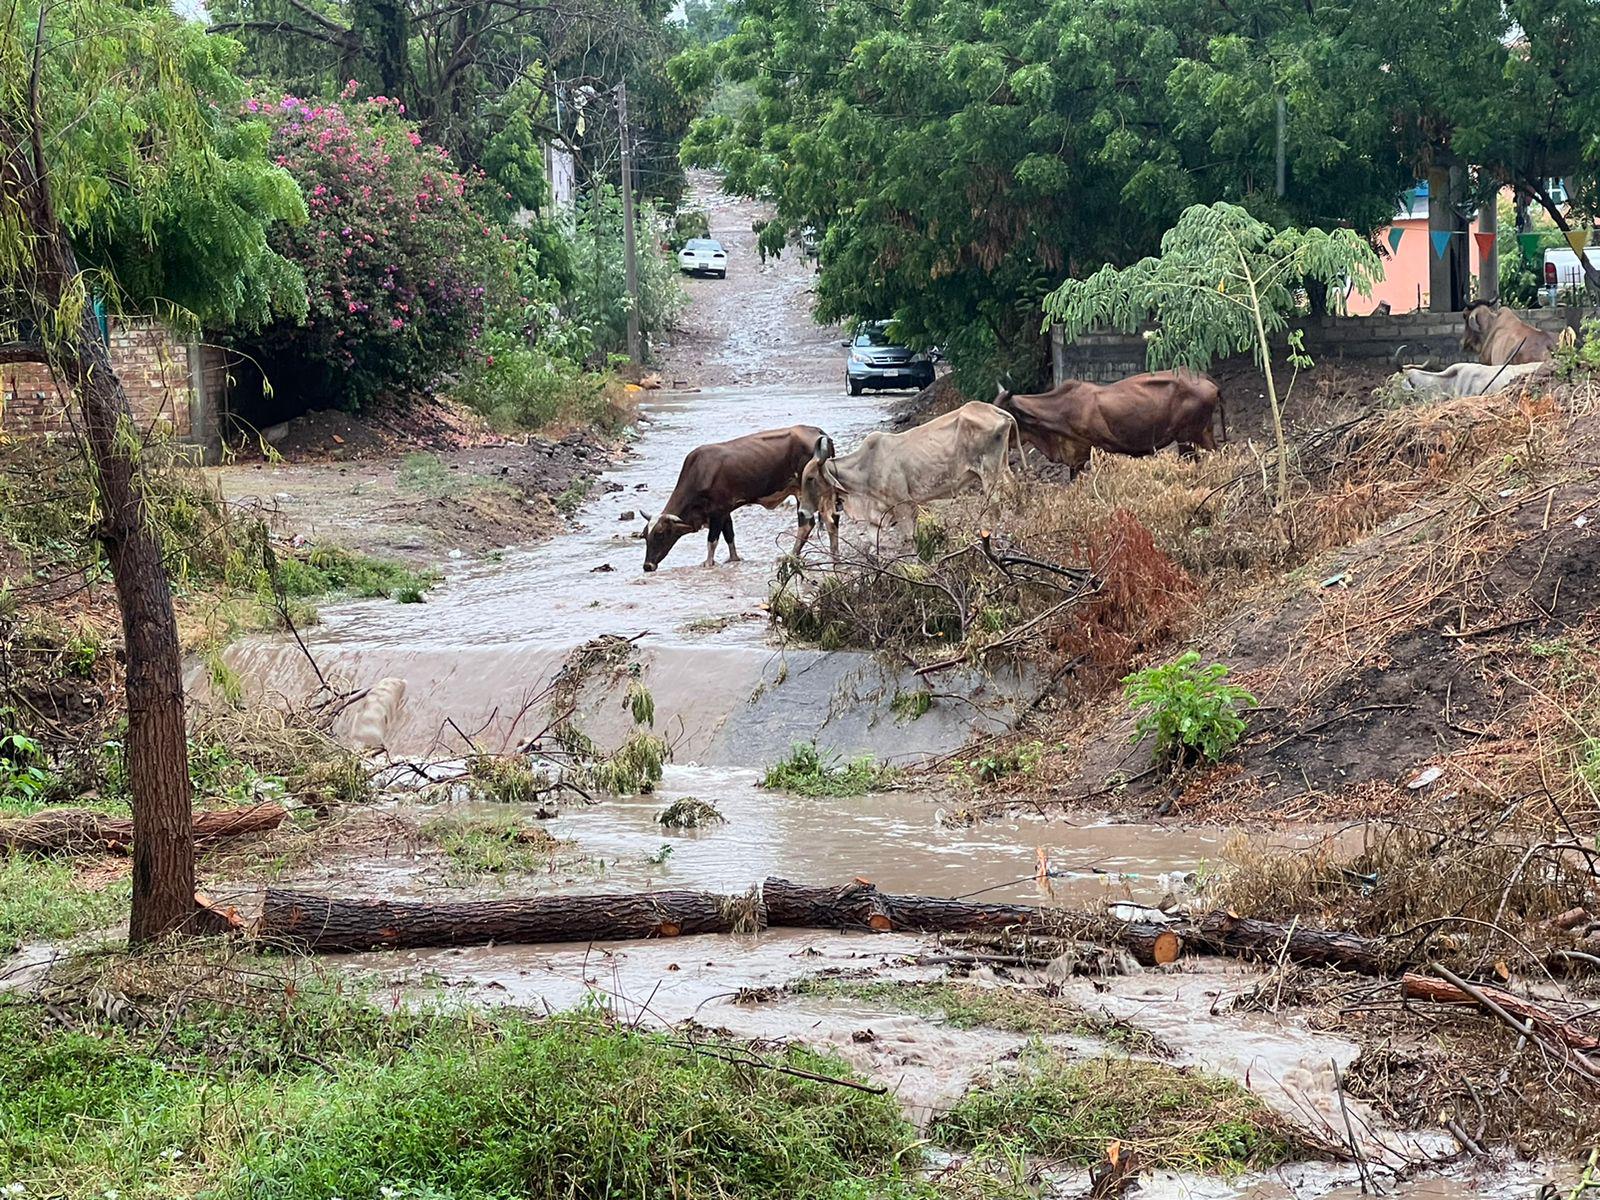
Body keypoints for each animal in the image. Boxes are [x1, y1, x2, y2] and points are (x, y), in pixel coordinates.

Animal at [640, 422, 825, 572]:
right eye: (644, 535)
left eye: (660, 534)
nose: (647, 566)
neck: (699, 473)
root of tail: (817, 431)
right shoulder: (724, 512)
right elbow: (729, 535)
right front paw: (734, 559)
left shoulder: (718, 512)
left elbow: (712, 540)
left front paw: (708, 563)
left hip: (803, 491)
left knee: (806, 524)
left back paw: (792, 554)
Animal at [793, 400, 1017, 560]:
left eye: (810, 478)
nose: (802, 512)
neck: (866, 466)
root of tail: (993, 410)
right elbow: (874, 543)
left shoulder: (903, 505)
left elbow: (909, 539)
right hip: (1002, 468)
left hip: (989, 474)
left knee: (995, 507)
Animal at [998, 369, 1222, 476]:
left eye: (1005, 414)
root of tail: (1206, 379)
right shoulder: (1077, 458)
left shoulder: (1103, 450)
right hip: (1204, 433)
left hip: (1187, 438)